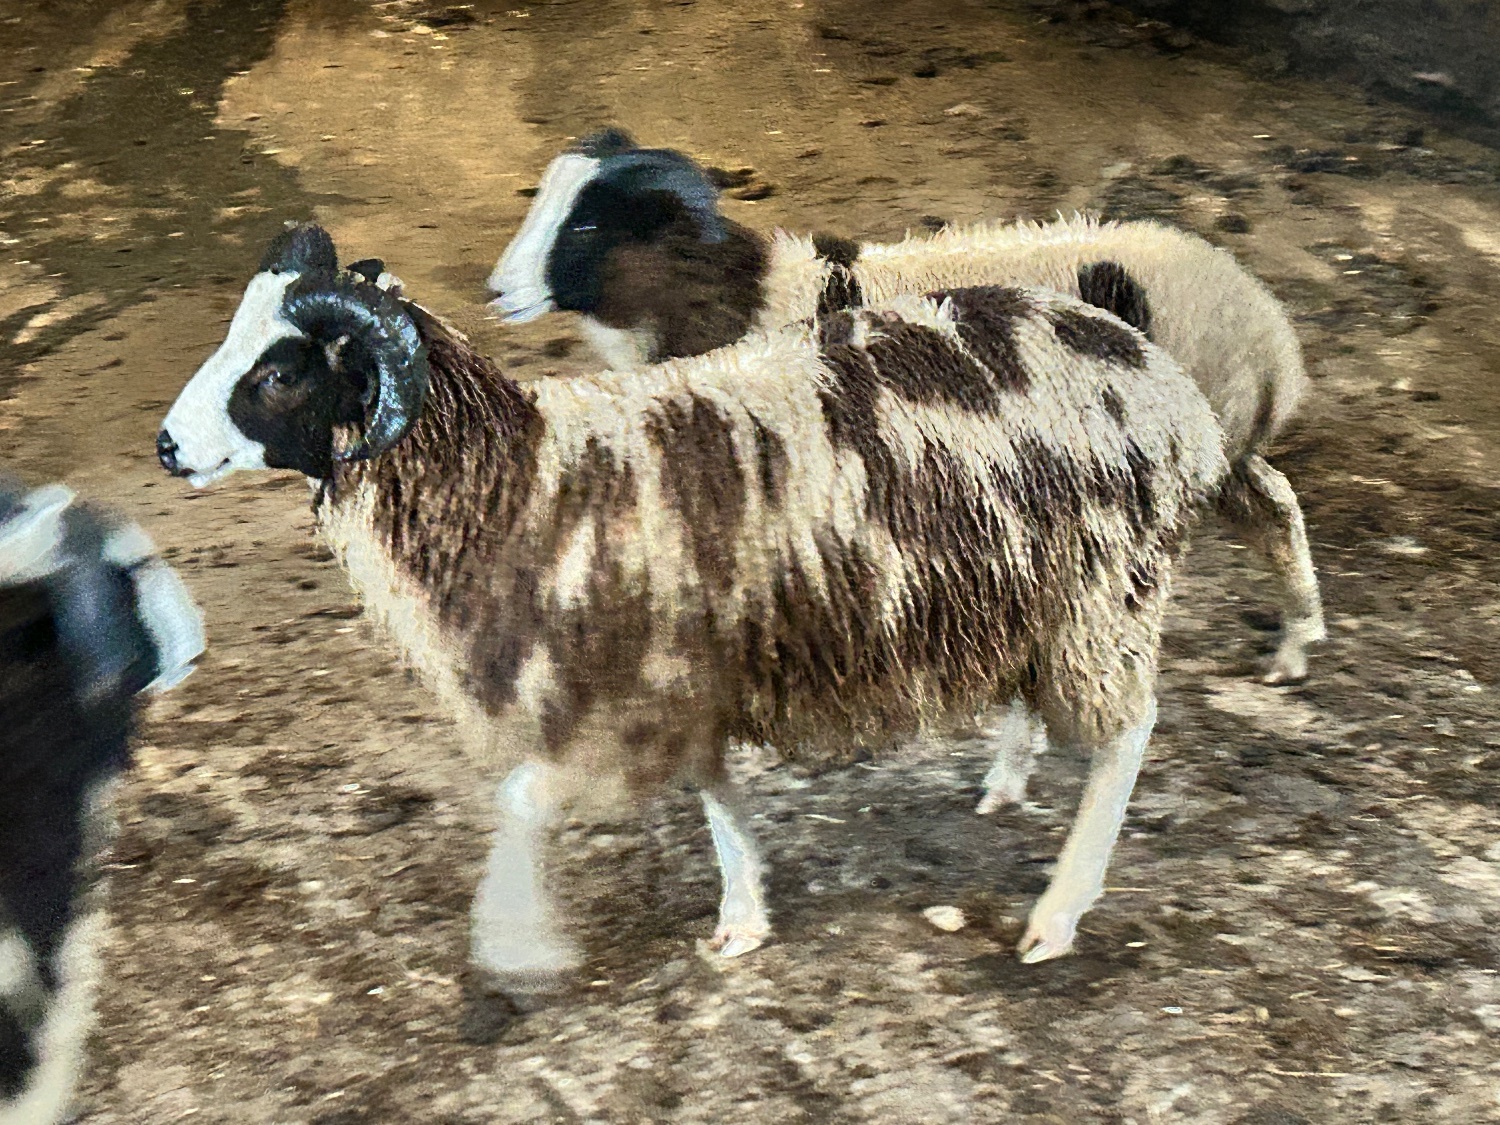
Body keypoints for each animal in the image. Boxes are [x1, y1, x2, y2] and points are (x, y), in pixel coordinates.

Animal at [157, 221, 1227, 980]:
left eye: (280, 369)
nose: (167, 447)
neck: (525, 477)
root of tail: (1157, 374)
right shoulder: (684, 669)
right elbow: (712, 789)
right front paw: (743, 917)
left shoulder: (617, 692)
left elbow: (523, 800)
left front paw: (514, 949)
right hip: (1036, 591)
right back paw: (1005, 781)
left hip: (1108, 592)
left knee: (1127, 735)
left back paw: (1057, 913)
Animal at [486, 131, 1324, 707]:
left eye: (587, 227)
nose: (497, 292)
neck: (740, 299)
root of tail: (1270, 333)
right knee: (1276, 505)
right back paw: (1296, 641)